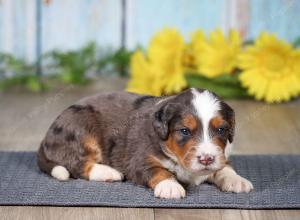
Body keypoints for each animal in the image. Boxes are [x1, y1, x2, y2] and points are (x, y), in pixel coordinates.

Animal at [37, 88, 253, 199]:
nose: (207, 159)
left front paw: (237, 180)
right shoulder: (139, 160)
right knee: (77, 164)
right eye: (184, 131)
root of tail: (46, 138)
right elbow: (159, 171)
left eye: (221, 130)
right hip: (82, 129)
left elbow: (225, 167)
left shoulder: (222, 155)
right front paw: (170, 186)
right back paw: (109, 172)